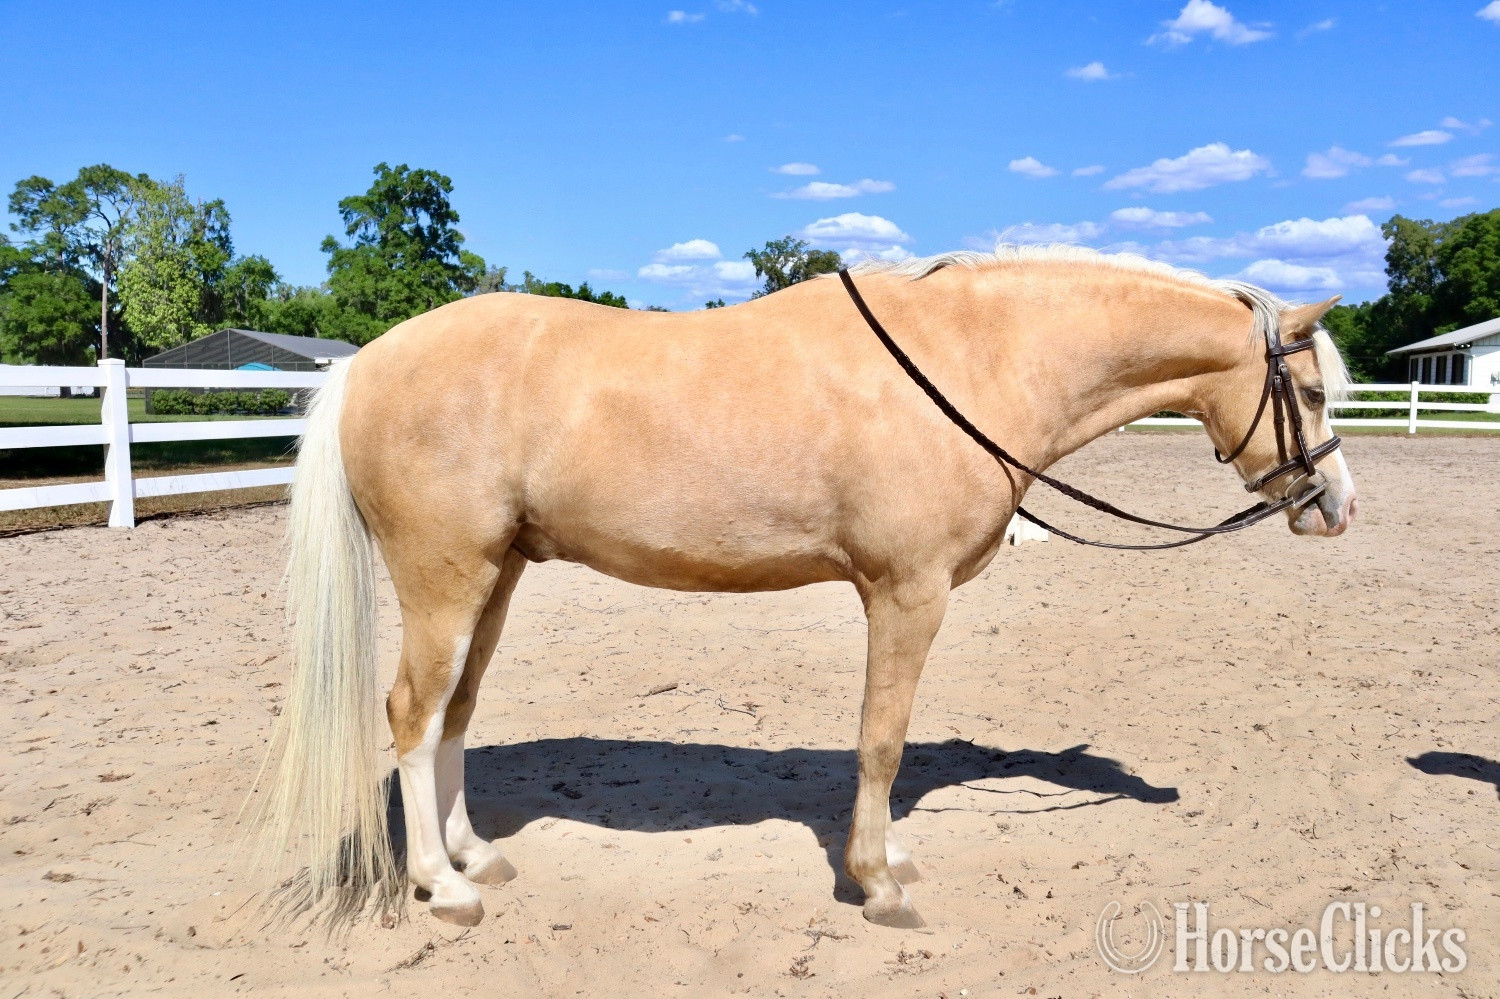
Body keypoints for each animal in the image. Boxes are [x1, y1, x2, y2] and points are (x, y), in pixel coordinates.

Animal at [246, 245, 1357, 931]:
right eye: (1308, 392)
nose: (1337, 506)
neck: (967, 362)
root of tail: (365, 364)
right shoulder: (908, 593)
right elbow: (882, 741)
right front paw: (877, 883)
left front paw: (889, 862)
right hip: (448, 575)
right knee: (413, 711)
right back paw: (442, 886)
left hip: (498, 574)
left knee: (455, 711)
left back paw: (476, 856)